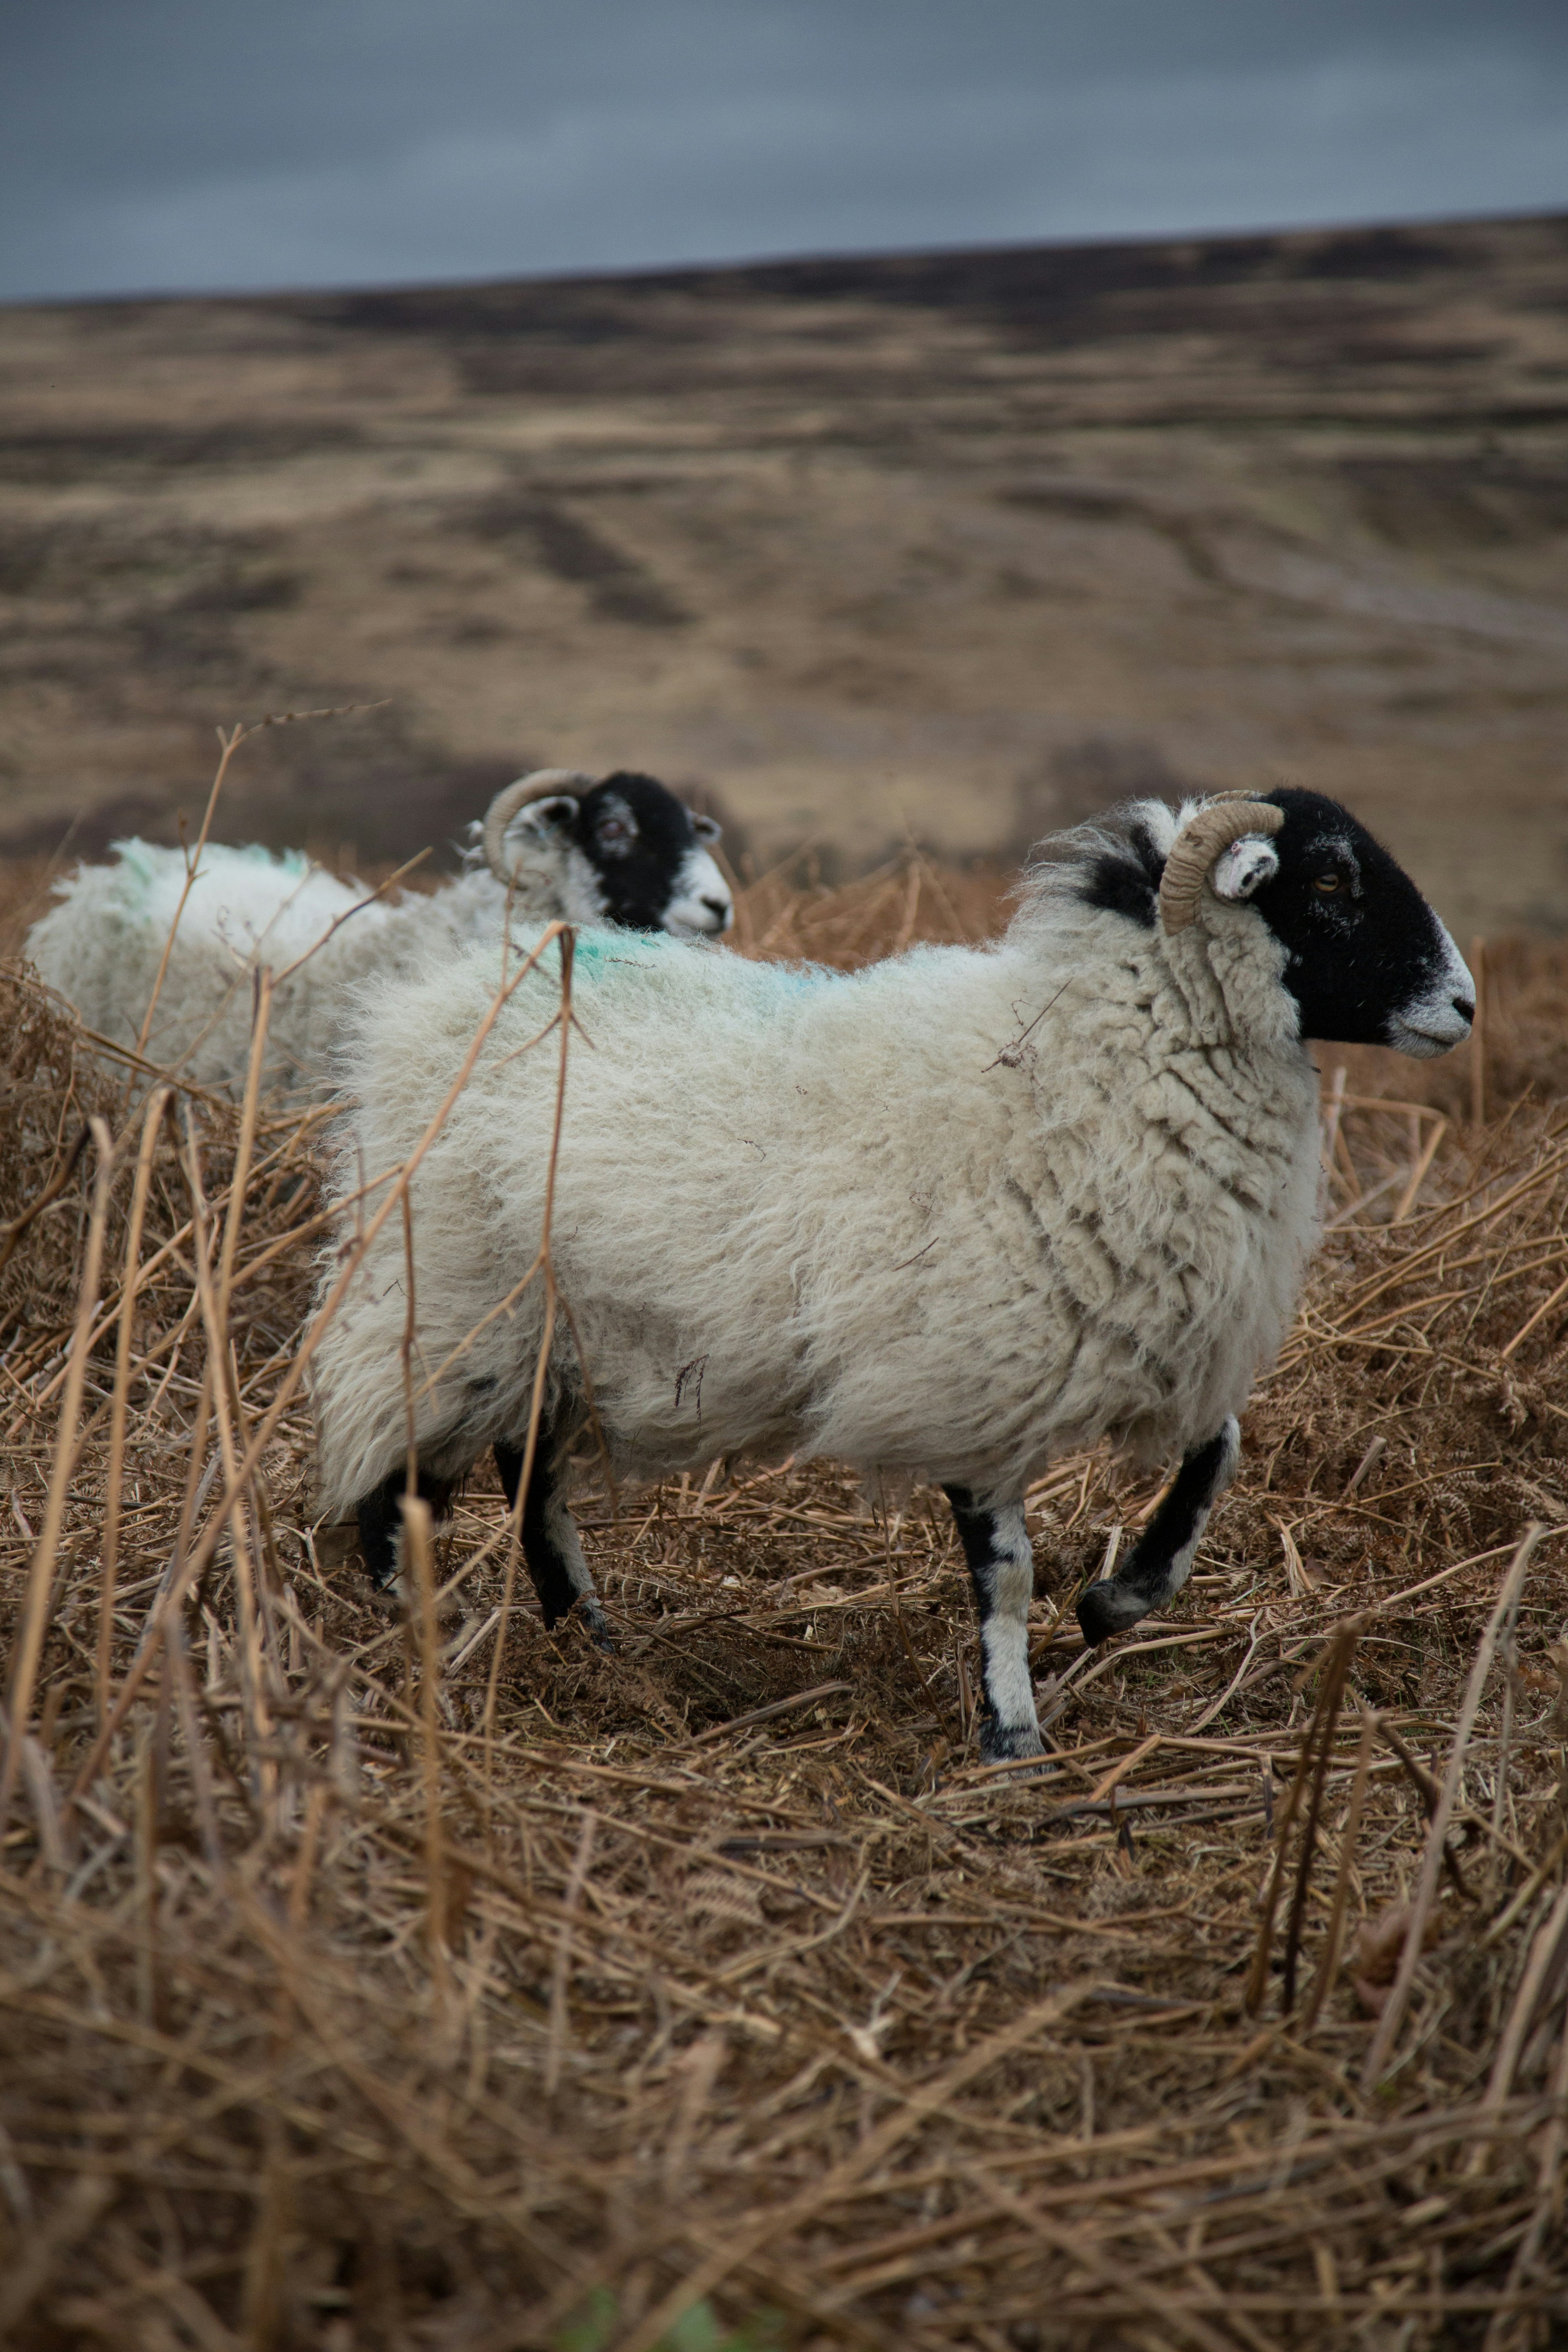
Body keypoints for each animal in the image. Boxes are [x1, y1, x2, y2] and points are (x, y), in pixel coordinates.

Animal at [311, 788, 1474, 1761]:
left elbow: (1217, 1456)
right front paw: (1012, 1732)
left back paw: (593, 1643)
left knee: (530, 1481)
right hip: (448, 1299)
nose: (1463, 1005)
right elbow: (1006, 1575)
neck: (1079, 1063)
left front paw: (1117, 1602)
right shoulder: (971, 1367)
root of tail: (428, 1003)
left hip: (558, 1330)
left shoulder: (1154, 1340)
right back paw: (421, 1631)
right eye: (1330, 881)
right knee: (404, 1483)